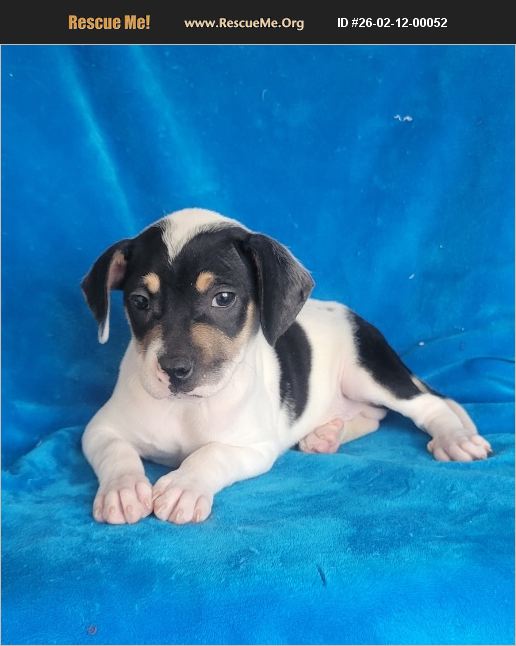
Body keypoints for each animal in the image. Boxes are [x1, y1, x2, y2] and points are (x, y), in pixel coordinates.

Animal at [81, 208, 491, 525]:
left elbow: (210, 454)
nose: (175, 370)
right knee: (373, 417)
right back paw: (325, 435)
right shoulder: (99, 430)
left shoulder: (253, 447)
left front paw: (184, 486)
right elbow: (118, 452)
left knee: (426, 406)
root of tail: (356, 317)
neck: (188, 408)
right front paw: (122, 490)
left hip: (368, 374)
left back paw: (454, 439)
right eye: (139, 301)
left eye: (223, 298)